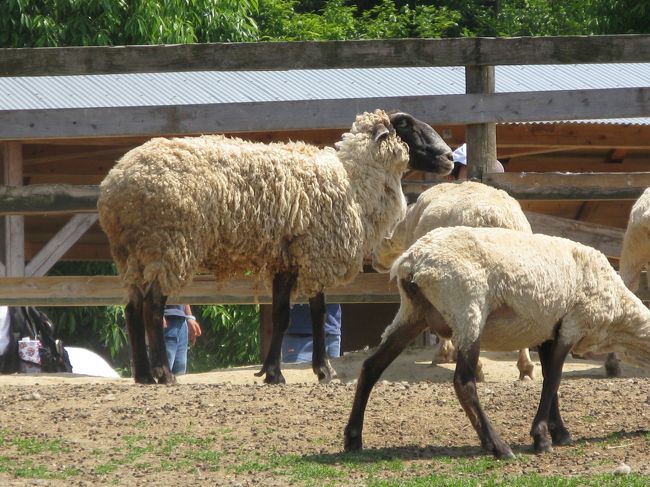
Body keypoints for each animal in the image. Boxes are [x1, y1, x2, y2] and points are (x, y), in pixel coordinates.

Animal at [98, 110, 454, 386]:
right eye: (406, 125)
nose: (450, 157)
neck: (353, 181)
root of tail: (115, 186)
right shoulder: (317, 251)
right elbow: (317, 313)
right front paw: (323, 371)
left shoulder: (287, 259)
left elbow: (281, 315)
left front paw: (272, 373)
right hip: (168, 244)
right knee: (153, 307)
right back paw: (163, 373)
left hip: (131, 253)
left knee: (132, 307)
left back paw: (143, 375)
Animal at [344, 227, 648, 460]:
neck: (619, 317)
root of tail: (411, 261)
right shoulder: (572, 325)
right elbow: (554, 381)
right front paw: (541, 438)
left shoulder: (548, 331)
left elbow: (550, 381)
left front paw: (559, 433)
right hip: (467, 308)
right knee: (463, 382)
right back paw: (498, 446)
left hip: (413, 313)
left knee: (371, 367)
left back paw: (353, 439)